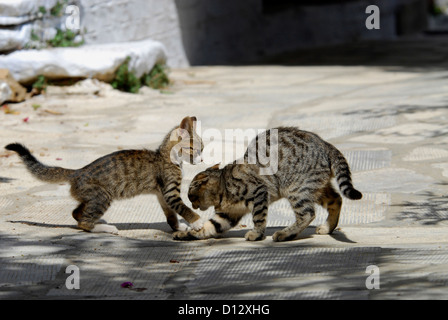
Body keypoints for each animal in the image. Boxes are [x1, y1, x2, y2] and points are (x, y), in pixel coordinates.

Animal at [4, 116, 205, 234]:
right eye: (197, 149)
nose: (202, 159)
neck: (165, 156)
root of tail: (78, 171)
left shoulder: (161, 194)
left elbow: (170, 213)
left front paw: (179, 226)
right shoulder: (170, 191)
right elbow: (184, 208)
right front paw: (197, 222)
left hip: (92, 197)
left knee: (76, 213)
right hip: (103, 196)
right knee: (83, 223)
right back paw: (105, 227)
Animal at [173, 126, 362, 241]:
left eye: (191, 197)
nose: (193, 206)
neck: (223, 189)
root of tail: (326, 144)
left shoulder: (259, 192)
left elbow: (258, 217)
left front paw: (256, 234)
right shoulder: (227, 215)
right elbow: (208, 227)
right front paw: (186, 234)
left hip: (297, 189)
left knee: (307, 214)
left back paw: (285, 234)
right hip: (317, 188)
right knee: (337, 199)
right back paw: (327, 228)